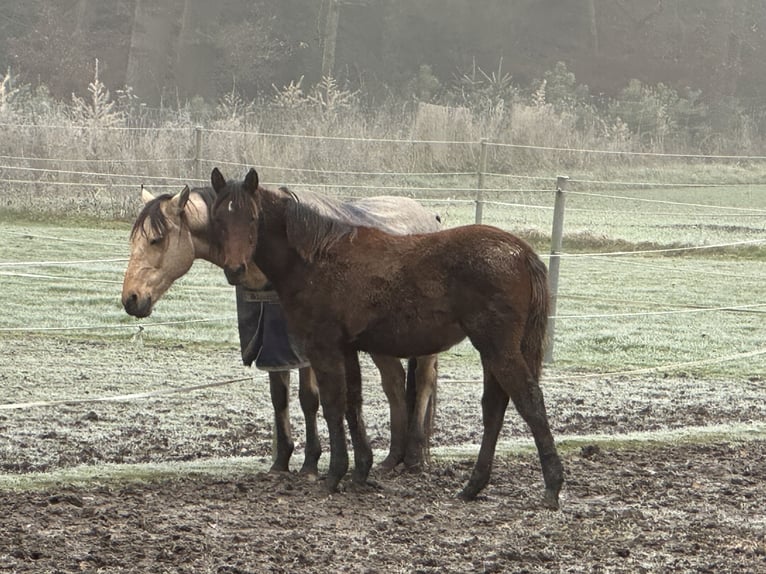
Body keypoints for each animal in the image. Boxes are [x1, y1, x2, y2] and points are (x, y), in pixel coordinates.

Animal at [122, 186, 440, 476]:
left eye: (156, 239)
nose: (131, 299)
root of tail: (430, 219)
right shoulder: (273, 346)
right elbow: (279, 397)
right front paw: (281, 461)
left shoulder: (306, 346)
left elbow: (309, 400)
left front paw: (311, 463)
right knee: (394, 384)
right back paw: (392, 459)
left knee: (423, 382)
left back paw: (413, 457)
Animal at [208, 166, 564, 508]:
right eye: (218, 218)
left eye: (252, 217)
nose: (235, 269)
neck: (318, 258)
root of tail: (521, 251)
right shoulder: (347, 349)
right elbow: (353, 403)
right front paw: (360, 471)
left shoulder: (324, 348)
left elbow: (333, 405)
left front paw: (334, 476)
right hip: (493, 350)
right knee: (494, 407)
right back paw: (472, 487)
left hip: (497, 348)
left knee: (529, 401)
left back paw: (551, 488)